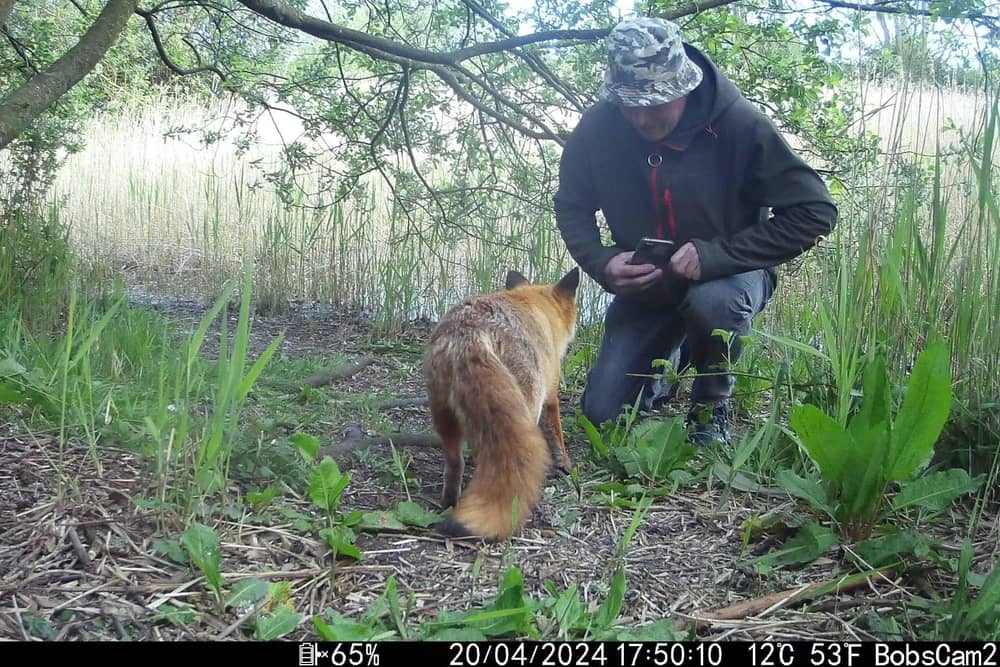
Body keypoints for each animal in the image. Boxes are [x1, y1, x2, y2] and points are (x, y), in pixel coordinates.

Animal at [423, 267, 580, 541]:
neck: (535, 307)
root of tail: (469, 332)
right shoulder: (551, 395)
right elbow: (558, 438)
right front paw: (566, 467)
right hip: (528, 405)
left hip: (444, 415)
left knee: (456, 463)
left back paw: (450, 504)